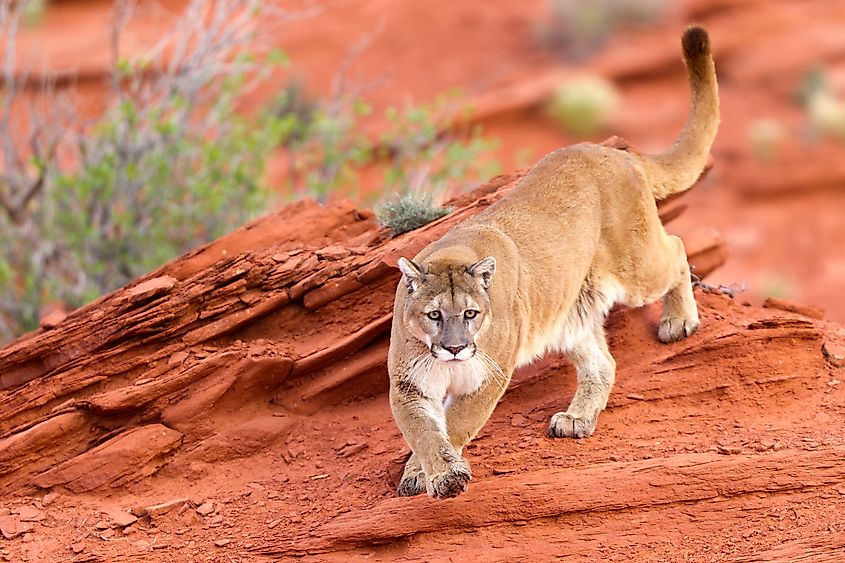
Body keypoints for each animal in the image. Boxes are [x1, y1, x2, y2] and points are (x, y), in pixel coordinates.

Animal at [386, 27, 716, 498]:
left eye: (470, 313)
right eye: (433, 315)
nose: (454, 348)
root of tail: (614, 152)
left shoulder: (489, 375)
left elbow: (456, 424)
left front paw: (446, 475)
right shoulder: (409, 384)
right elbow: (425, 432)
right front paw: (426, 472)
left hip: (636, 268)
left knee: (676, 246)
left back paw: (679, 321)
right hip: (569, 314)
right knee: (602, 363)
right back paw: (577, 419)